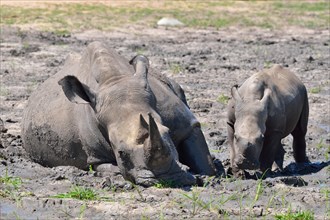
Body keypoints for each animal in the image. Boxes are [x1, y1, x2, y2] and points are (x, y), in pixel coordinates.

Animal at [21, 40, 217, 186]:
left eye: (167, 132)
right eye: (120, 152)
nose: (168, 179)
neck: (114, 80)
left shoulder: (187, 124)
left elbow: (203, 159)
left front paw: (205, 176)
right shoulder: (95, 156)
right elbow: (107, 167)